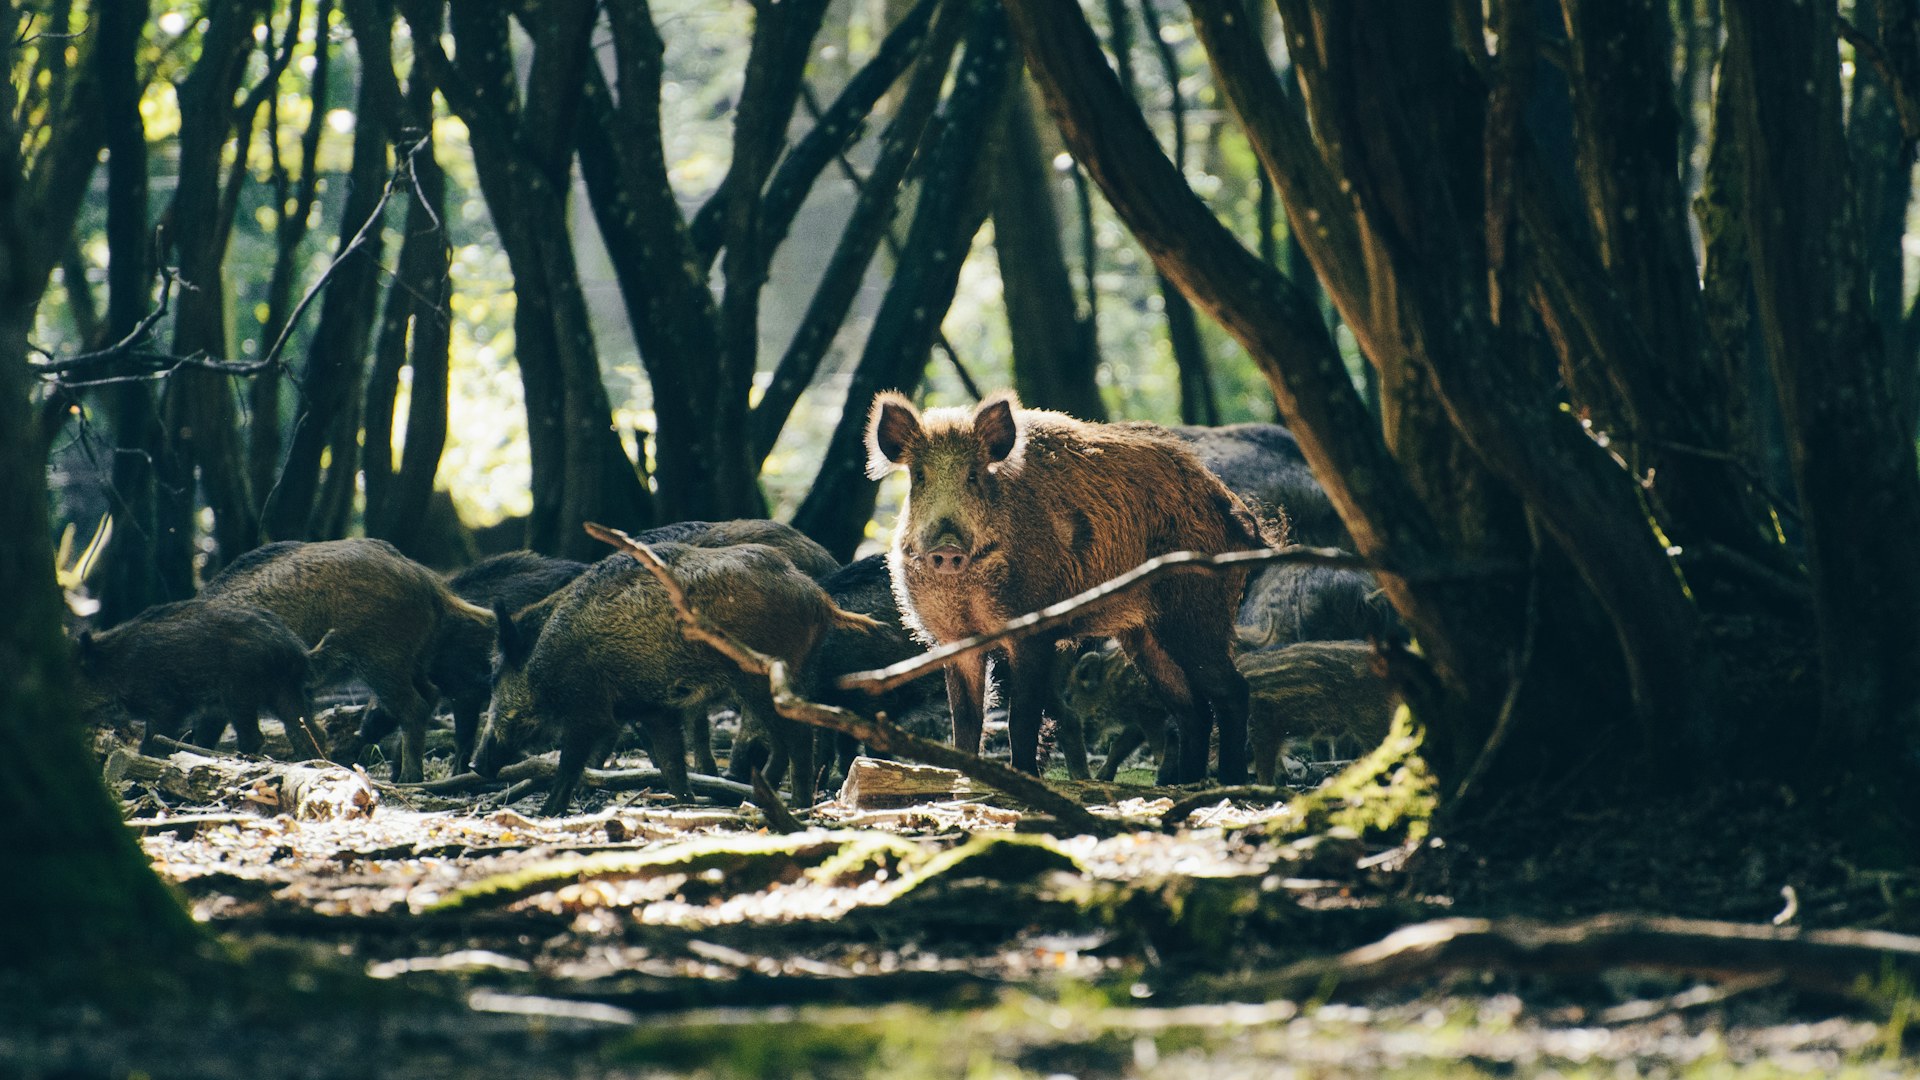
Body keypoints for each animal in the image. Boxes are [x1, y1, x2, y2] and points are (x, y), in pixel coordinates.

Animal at [72, 599, 323, 757]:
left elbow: (154, 737)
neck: (114, 667)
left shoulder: (164, 702)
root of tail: (296, 648)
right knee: (309, 731)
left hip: (240, 692)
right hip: (283, 689)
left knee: (254, 736)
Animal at [200, 538, 496, 782]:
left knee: (415, 707)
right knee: (430, 694)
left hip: (382, 659)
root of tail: (426, 580)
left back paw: (408, 779)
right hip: (414, 659)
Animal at [473, 541, 879, 816]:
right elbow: (671, 761)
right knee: (786, 739)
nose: (476, 765)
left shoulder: (588, 710)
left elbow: (570, 762)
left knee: (798, 737)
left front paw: (546, 813)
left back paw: (795, 804)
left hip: (761, 677)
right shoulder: (653, 709)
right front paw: (685, 802)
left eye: (495, 677)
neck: (547, 654)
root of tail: (818, 596)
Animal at [867, 389, 1273, 784]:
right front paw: (963, 776)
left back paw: (1230, 781)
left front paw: (1024, 778)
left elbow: (1021, 717)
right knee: (1193, 708)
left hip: (1196, 613)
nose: (947, 548)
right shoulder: (953, 640)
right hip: (1146, 635)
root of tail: (1241, 518)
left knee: (1232, 692)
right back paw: (1182, 785)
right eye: (920, 476)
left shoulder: (1033, 631)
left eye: (973, 475)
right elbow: (965, 719)